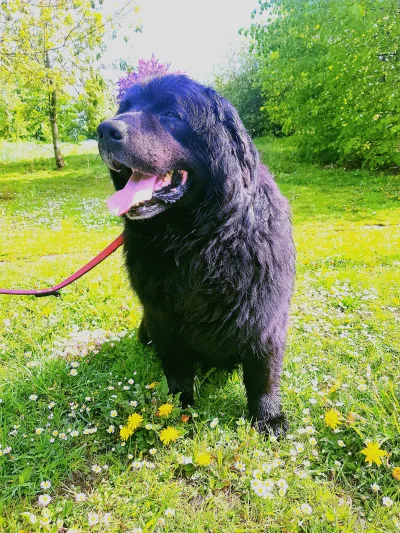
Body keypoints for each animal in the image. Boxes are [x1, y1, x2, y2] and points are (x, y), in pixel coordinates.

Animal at [98, 75, 296, 434]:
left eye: (171, 114)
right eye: (125, 109)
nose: (105, 129)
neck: (198, 242)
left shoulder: (265, 318)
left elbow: (264, 372)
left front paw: (268, 418)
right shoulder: (161, 318)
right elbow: (176, 368)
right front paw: (177, 406)